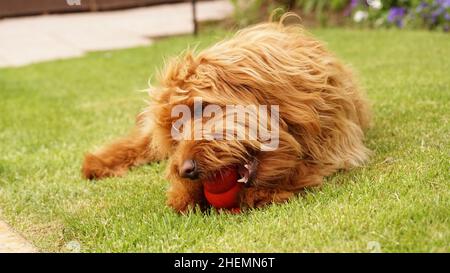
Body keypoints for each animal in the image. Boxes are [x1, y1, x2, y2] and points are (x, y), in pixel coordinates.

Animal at [82, 15, 370, 212]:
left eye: (200, 109)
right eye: (175, 138)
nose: (187, 170)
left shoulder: (337, 135)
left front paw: (262, 193)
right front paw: (183, 195)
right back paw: (95, 163)